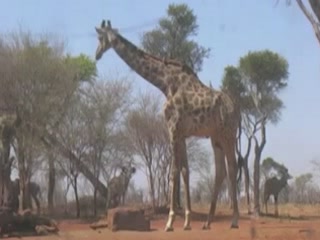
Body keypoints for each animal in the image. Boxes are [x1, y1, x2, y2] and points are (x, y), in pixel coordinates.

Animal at [94, 19, 240, 231]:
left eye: (99, 37)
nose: (96, 54)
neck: (165, 83)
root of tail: (236, 109)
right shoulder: (182, 133)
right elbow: (185, 171)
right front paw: (187, 221)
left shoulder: (173, 129)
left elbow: (173, 172)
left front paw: (170, 221)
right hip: (216, 138)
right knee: (221, 171)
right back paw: (207, 221)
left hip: (229, 135)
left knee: (233, 167)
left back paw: (234, 220)